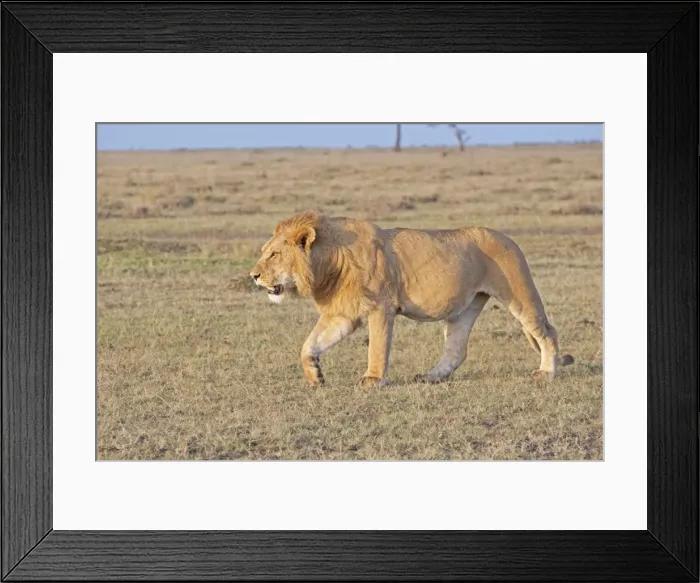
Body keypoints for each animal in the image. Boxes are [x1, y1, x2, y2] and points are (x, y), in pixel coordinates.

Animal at [250, 210, 573, 387]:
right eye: (265, 252)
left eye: (274, 254)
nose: (253, 276)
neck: (328, 263)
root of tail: (508, 237)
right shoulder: (343, 314)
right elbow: (309, 345)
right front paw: (315, 376)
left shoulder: (381, 307)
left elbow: (378, 348)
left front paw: (373, 380)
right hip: (465, 308)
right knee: (456, 350)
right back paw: (431, 377)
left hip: (518, 293)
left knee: (547, 331)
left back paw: (547, 373)